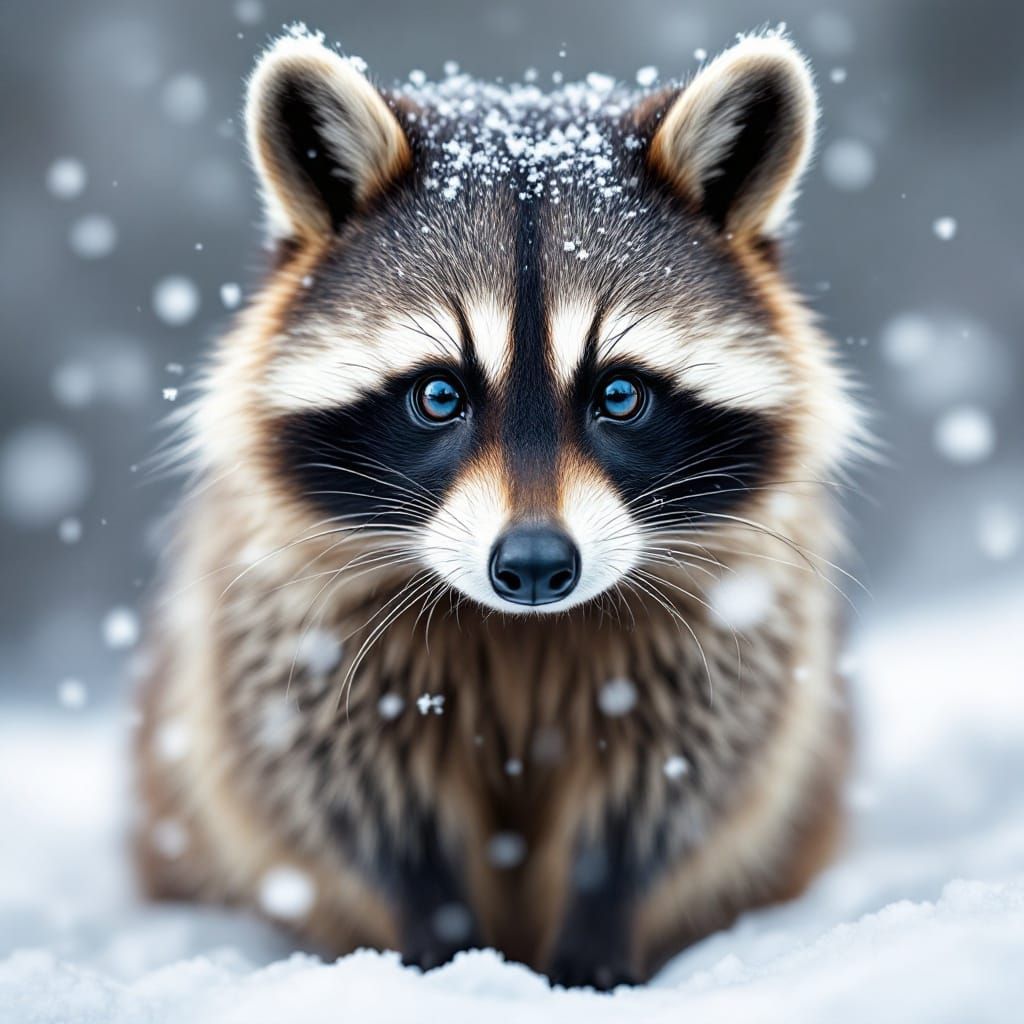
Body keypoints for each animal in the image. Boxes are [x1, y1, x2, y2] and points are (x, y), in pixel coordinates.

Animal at [134, 27, 864, 989]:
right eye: (439, 395)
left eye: (619, 395)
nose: (534, 565)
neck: (524, 632)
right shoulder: (298, 625)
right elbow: (356, 799)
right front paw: (439, 952)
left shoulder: (728, 625)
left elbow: (668, 794)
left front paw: (594, 951)